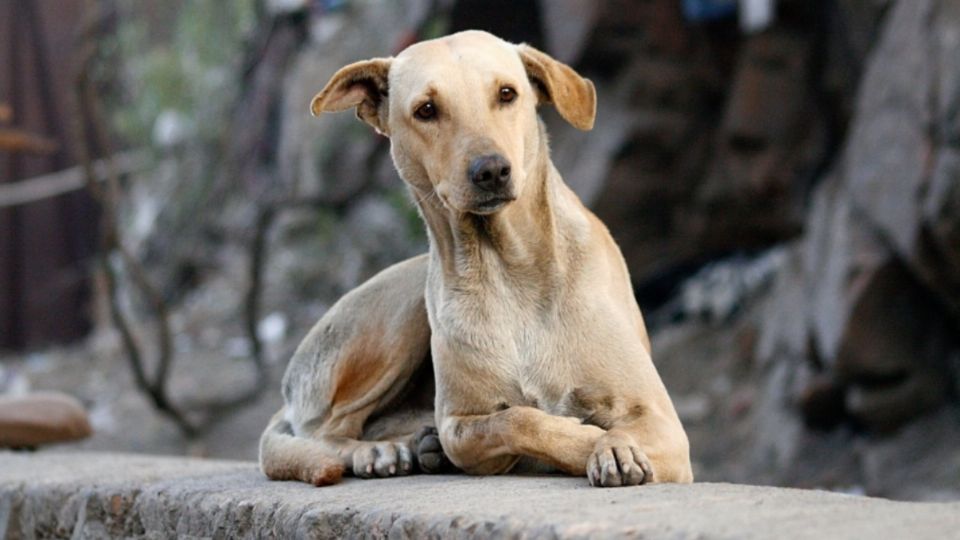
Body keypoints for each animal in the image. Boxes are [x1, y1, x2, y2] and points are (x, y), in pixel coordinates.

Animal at [258, 29, 692, 488]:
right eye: (426, 110)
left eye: (507, 93)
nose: (491, 171)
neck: (508, 269)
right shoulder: (459, 424)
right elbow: (515, 420)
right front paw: (590, 440)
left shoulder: (663, 422)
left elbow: (618, 428)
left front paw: (613, 447)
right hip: (397, 315)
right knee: (326, 430)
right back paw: (380, 450)